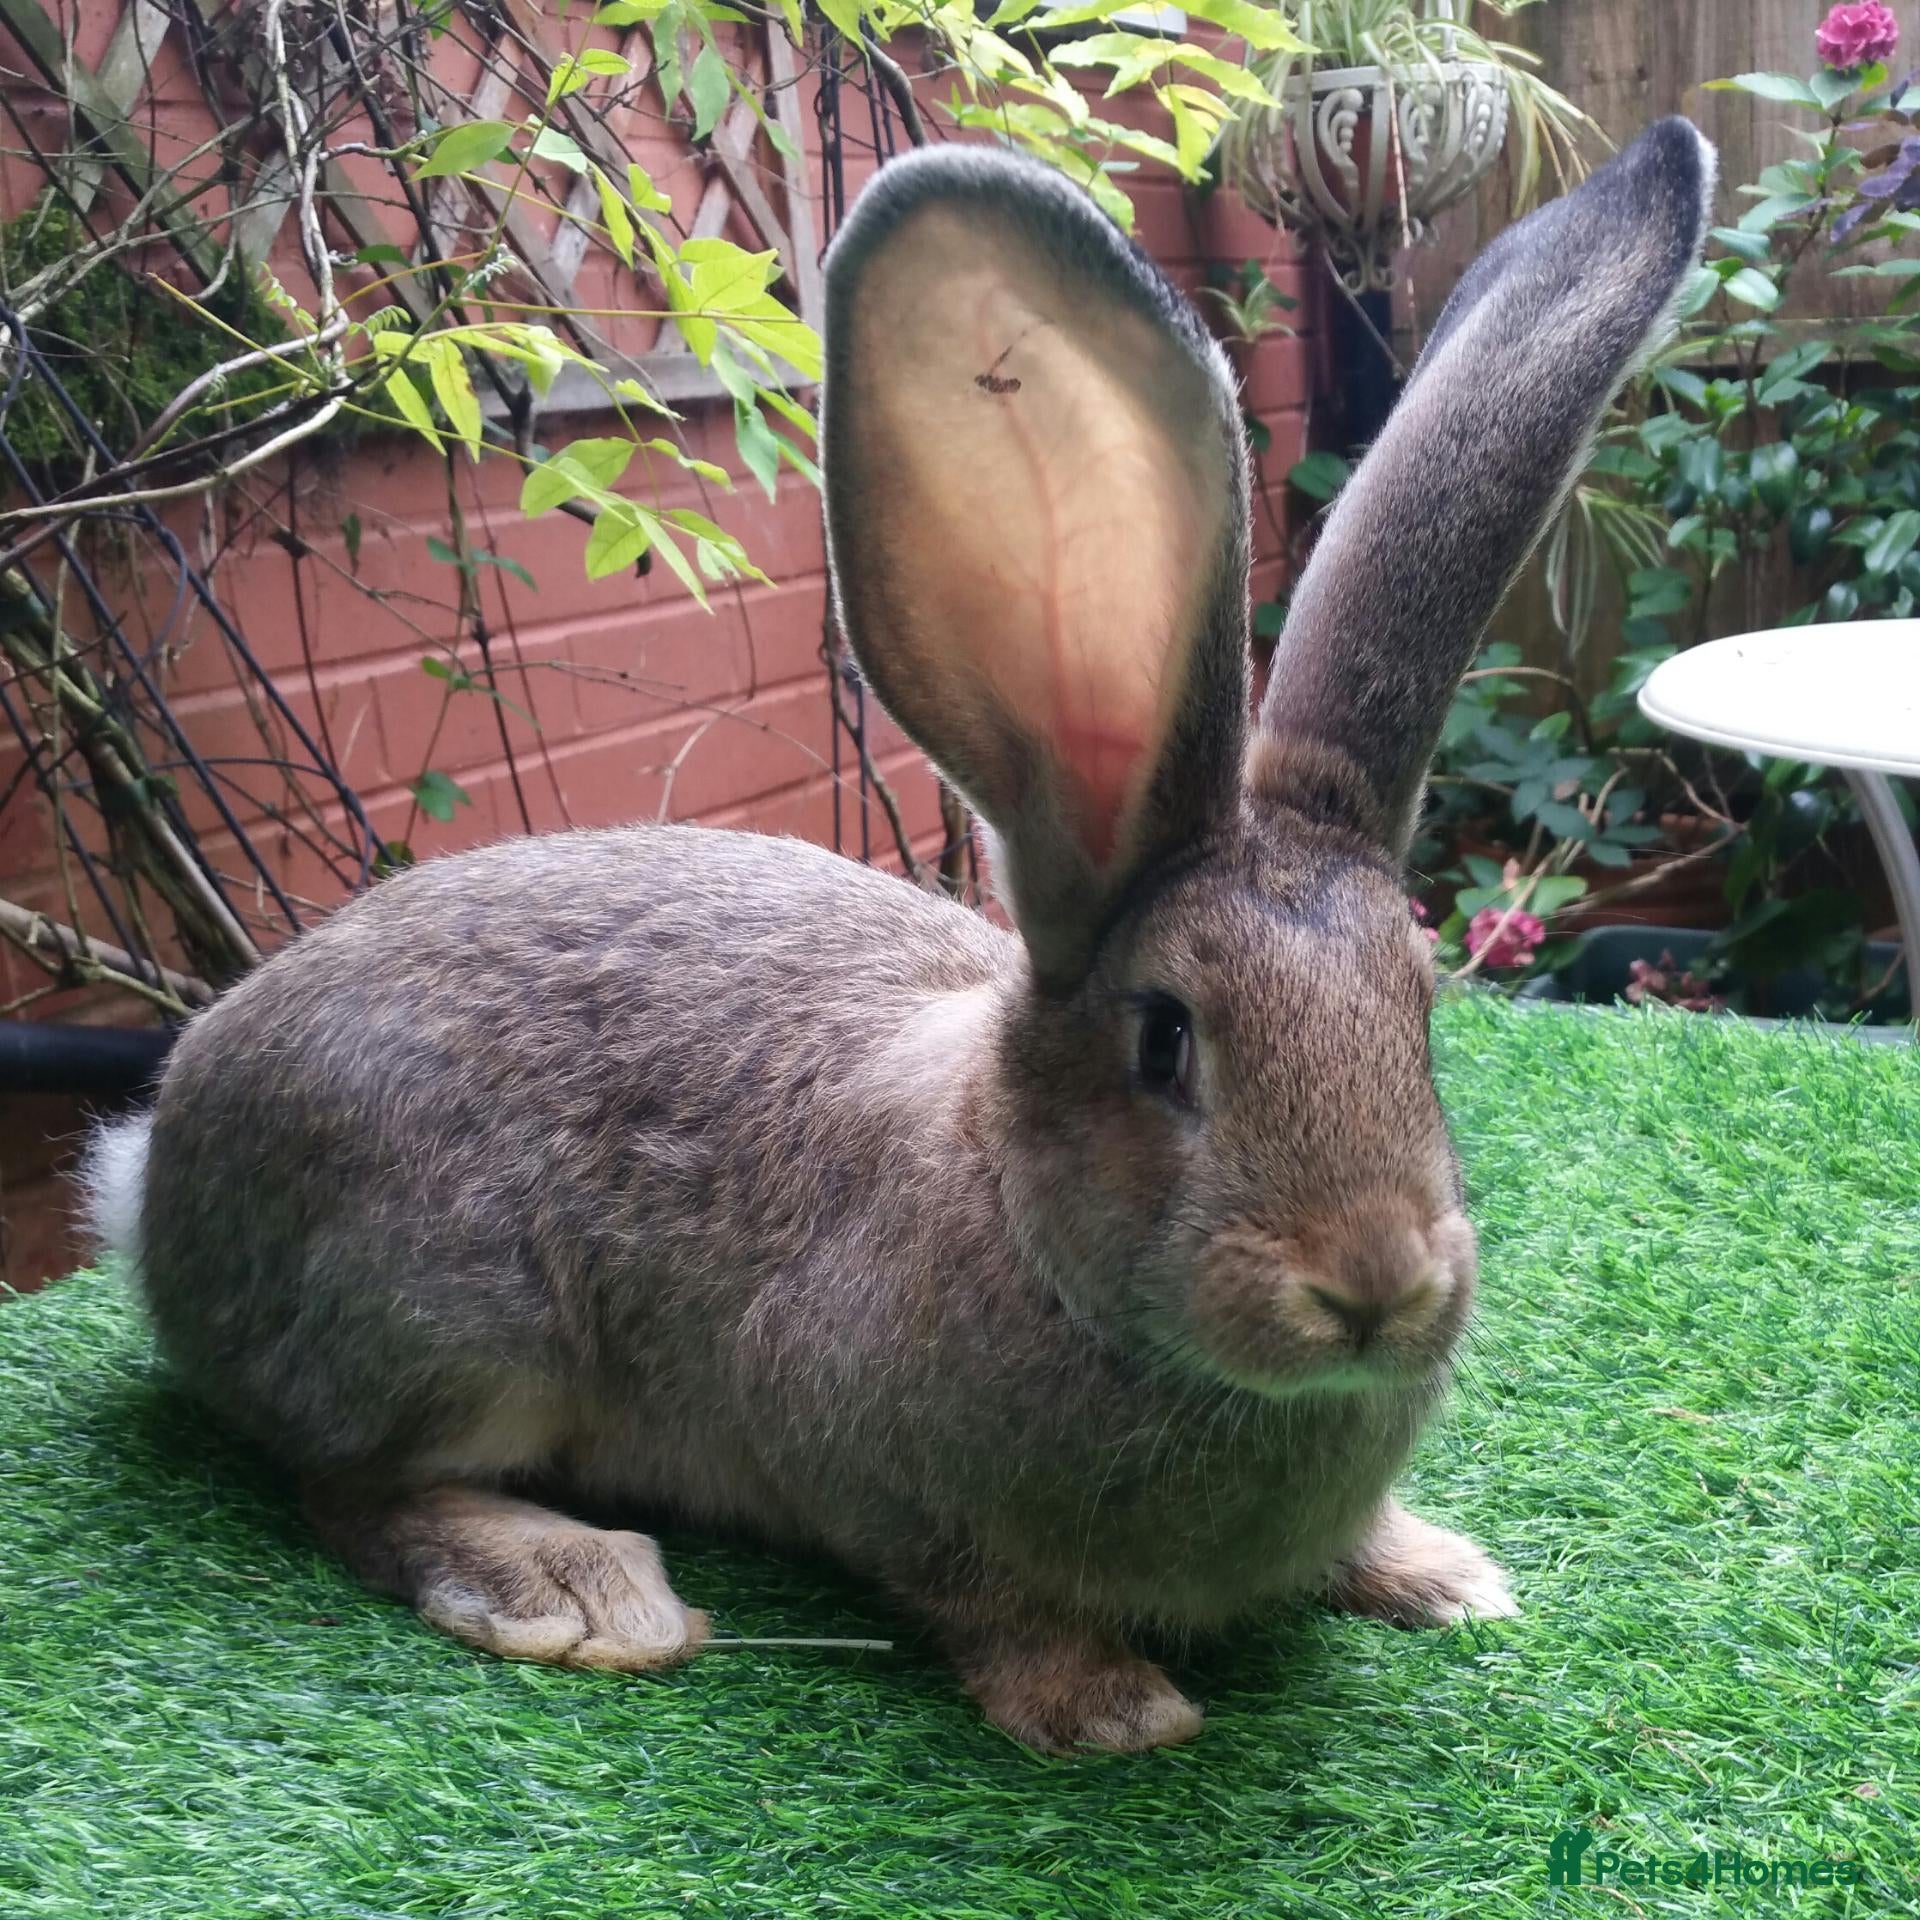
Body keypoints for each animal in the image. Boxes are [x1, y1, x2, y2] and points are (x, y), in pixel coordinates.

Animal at [82, 117, 1714, 1753]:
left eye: (1421, 1011)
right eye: (1165, 1040)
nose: (1374, 1284)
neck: (1019, 1210)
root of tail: (156, 1167)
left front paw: (1443, 1578)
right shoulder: (863, 1469)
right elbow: (984, 1605)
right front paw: (1112, 1710)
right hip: (452, 1319)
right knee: (351, 1486)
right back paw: (583, 1593)